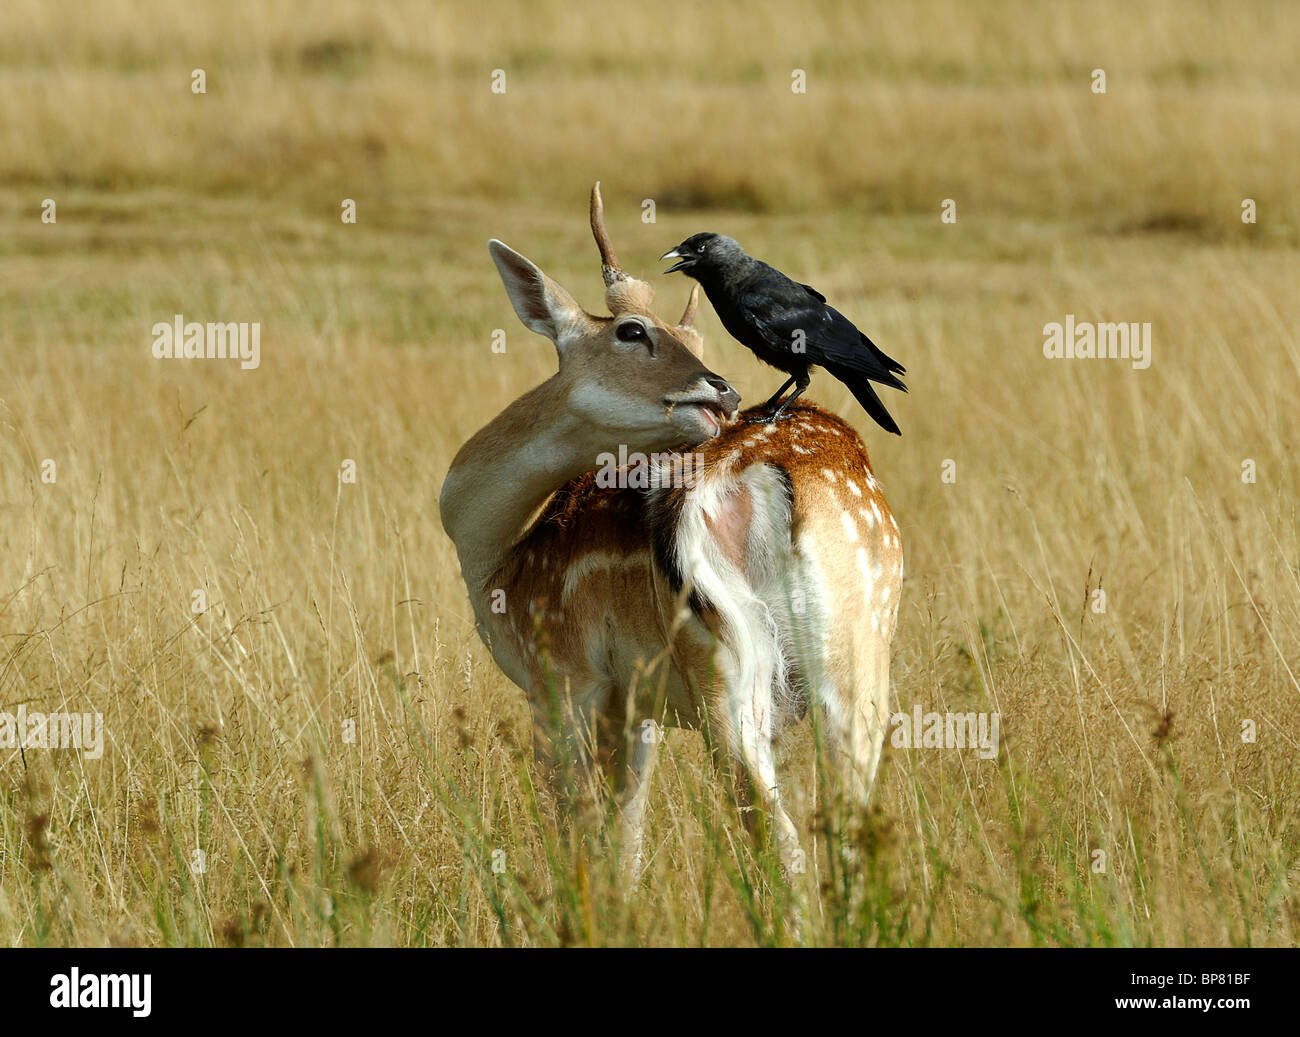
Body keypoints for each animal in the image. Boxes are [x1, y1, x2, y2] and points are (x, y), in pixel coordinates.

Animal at [439, 187, 904, 883]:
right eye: (634, 331)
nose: (724, 391)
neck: (495, 557)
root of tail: (774, 480)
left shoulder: (562, 681)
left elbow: (581, 839)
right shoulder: (640, 709)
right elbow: (626, 842)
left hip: (725, 671)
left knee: (781, 839)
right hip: (862, 656)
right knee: (849, 832)